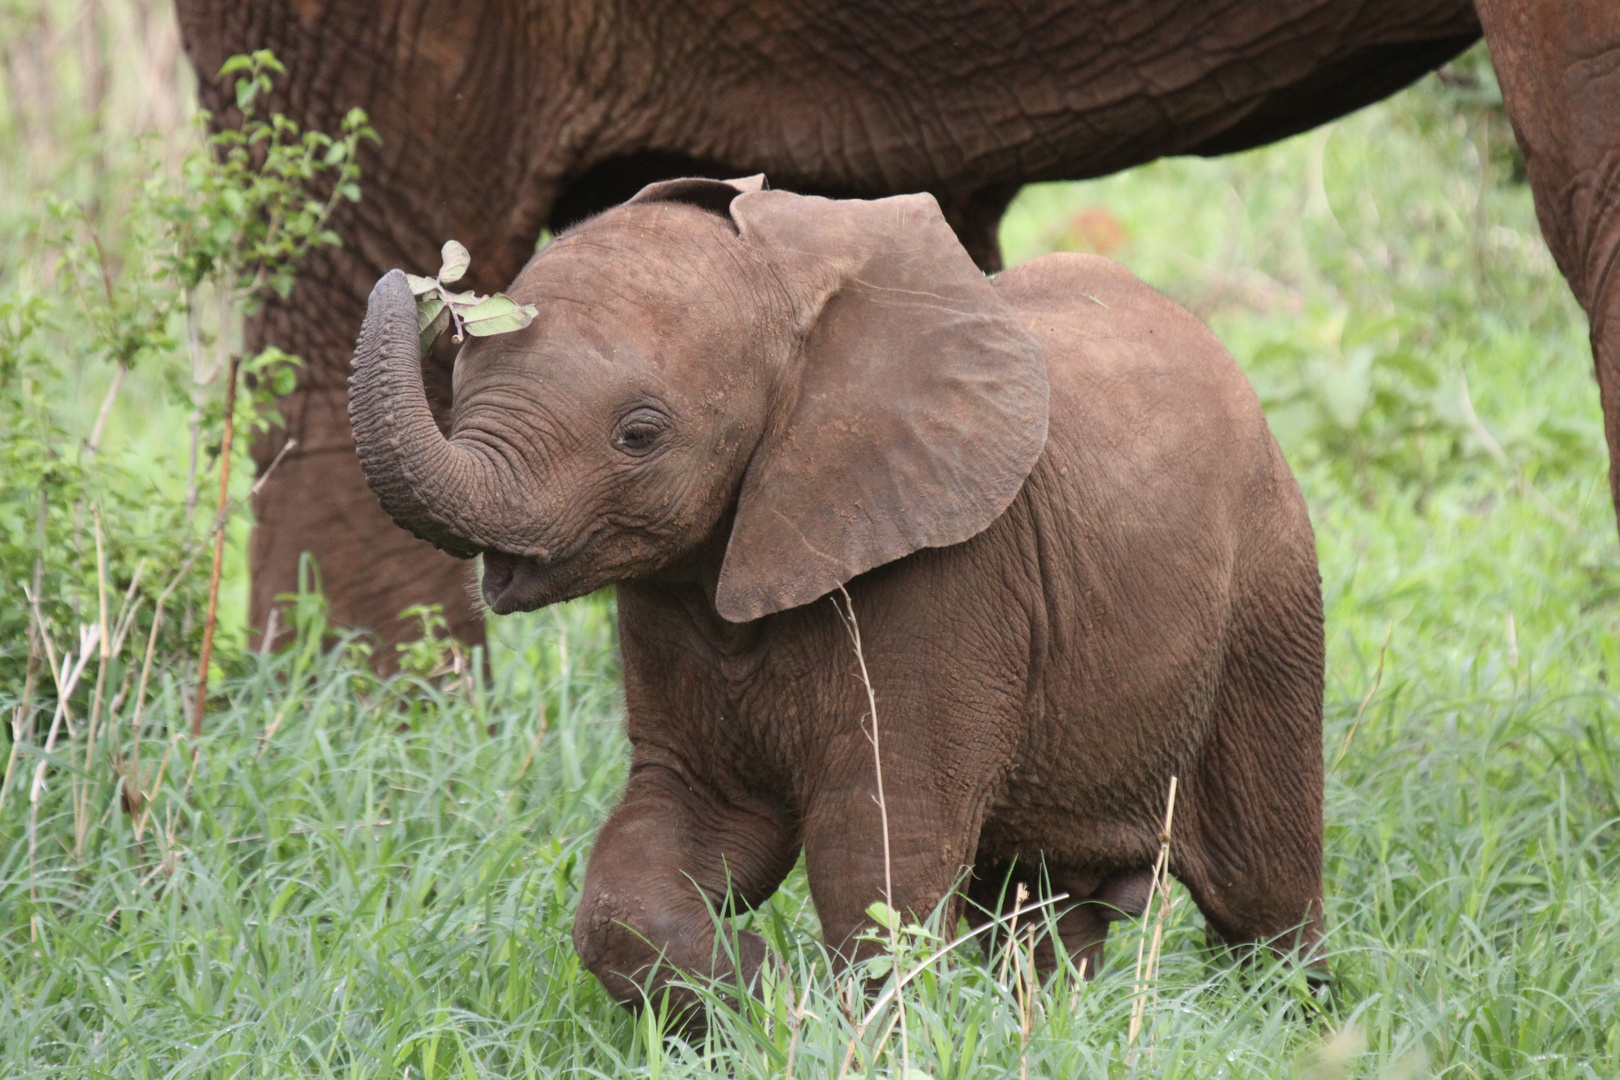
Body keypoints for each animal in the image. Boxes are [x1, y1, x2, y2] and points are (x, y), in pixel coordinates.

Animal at [348, 175, 1321, 1016]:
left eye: (640, 435)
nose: (421, 278)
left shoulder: (952, 573)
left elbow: (876, 846)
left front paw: (828, 1017)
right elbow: (673, 841)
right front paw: (761, 992)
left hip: (1268, 594)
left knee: (1263, 886)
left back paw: (1298, 1016)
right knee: (1036, 906)